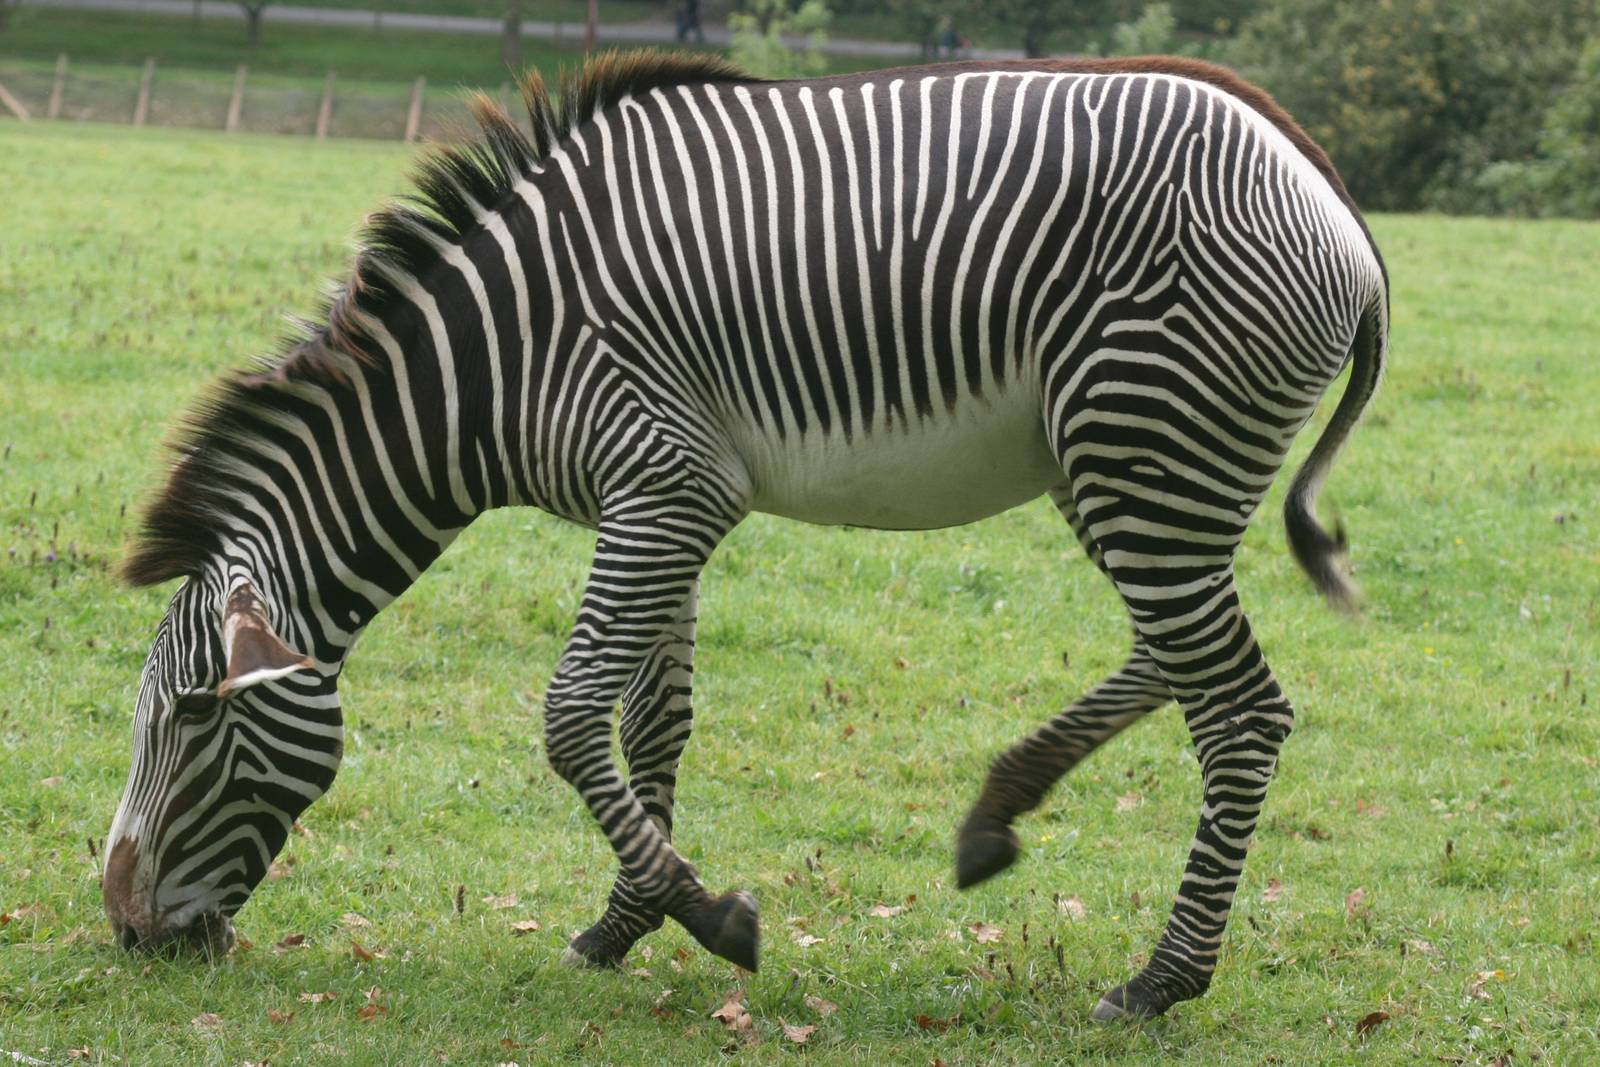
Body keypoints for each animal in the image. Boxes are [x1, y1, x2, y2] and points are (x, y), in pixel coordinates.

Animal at [103, 51, 1388, 1020]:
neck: (493, 361)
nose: (124, 929)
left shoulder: (663, 491)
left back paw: (1160, 978)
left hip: (1142, 448)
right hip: (1119, 465)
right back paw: (997, 814)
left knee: (1239, 708)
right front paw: (628, 916)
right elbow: (648, 719)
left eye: (191, 717)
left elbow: (570, 715)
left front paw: (712, 916)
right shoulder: (663, 501)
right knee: (1177, 660)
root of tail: (1329, 196)